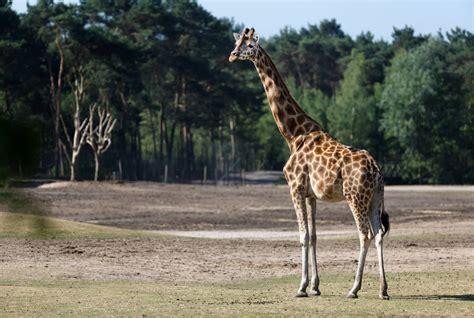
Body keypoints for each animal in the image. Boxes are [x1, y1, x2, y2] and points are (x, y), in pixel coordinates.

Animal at [229, 28, 388, 300]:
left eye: (249, 45)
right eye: (237, 41)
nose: (231, 55)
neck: (293, 135)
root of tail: (376, 171)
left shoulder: (294, 187)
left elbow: (302, 235)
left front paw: (301, 287)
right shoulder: (311, 194)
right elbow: (314, 235)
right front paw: (315, 286)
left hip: (356, 197)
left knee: (364, 234)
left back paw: (354, 289)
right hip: (375, 198)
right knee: (378, 235)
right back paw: (383, 290)